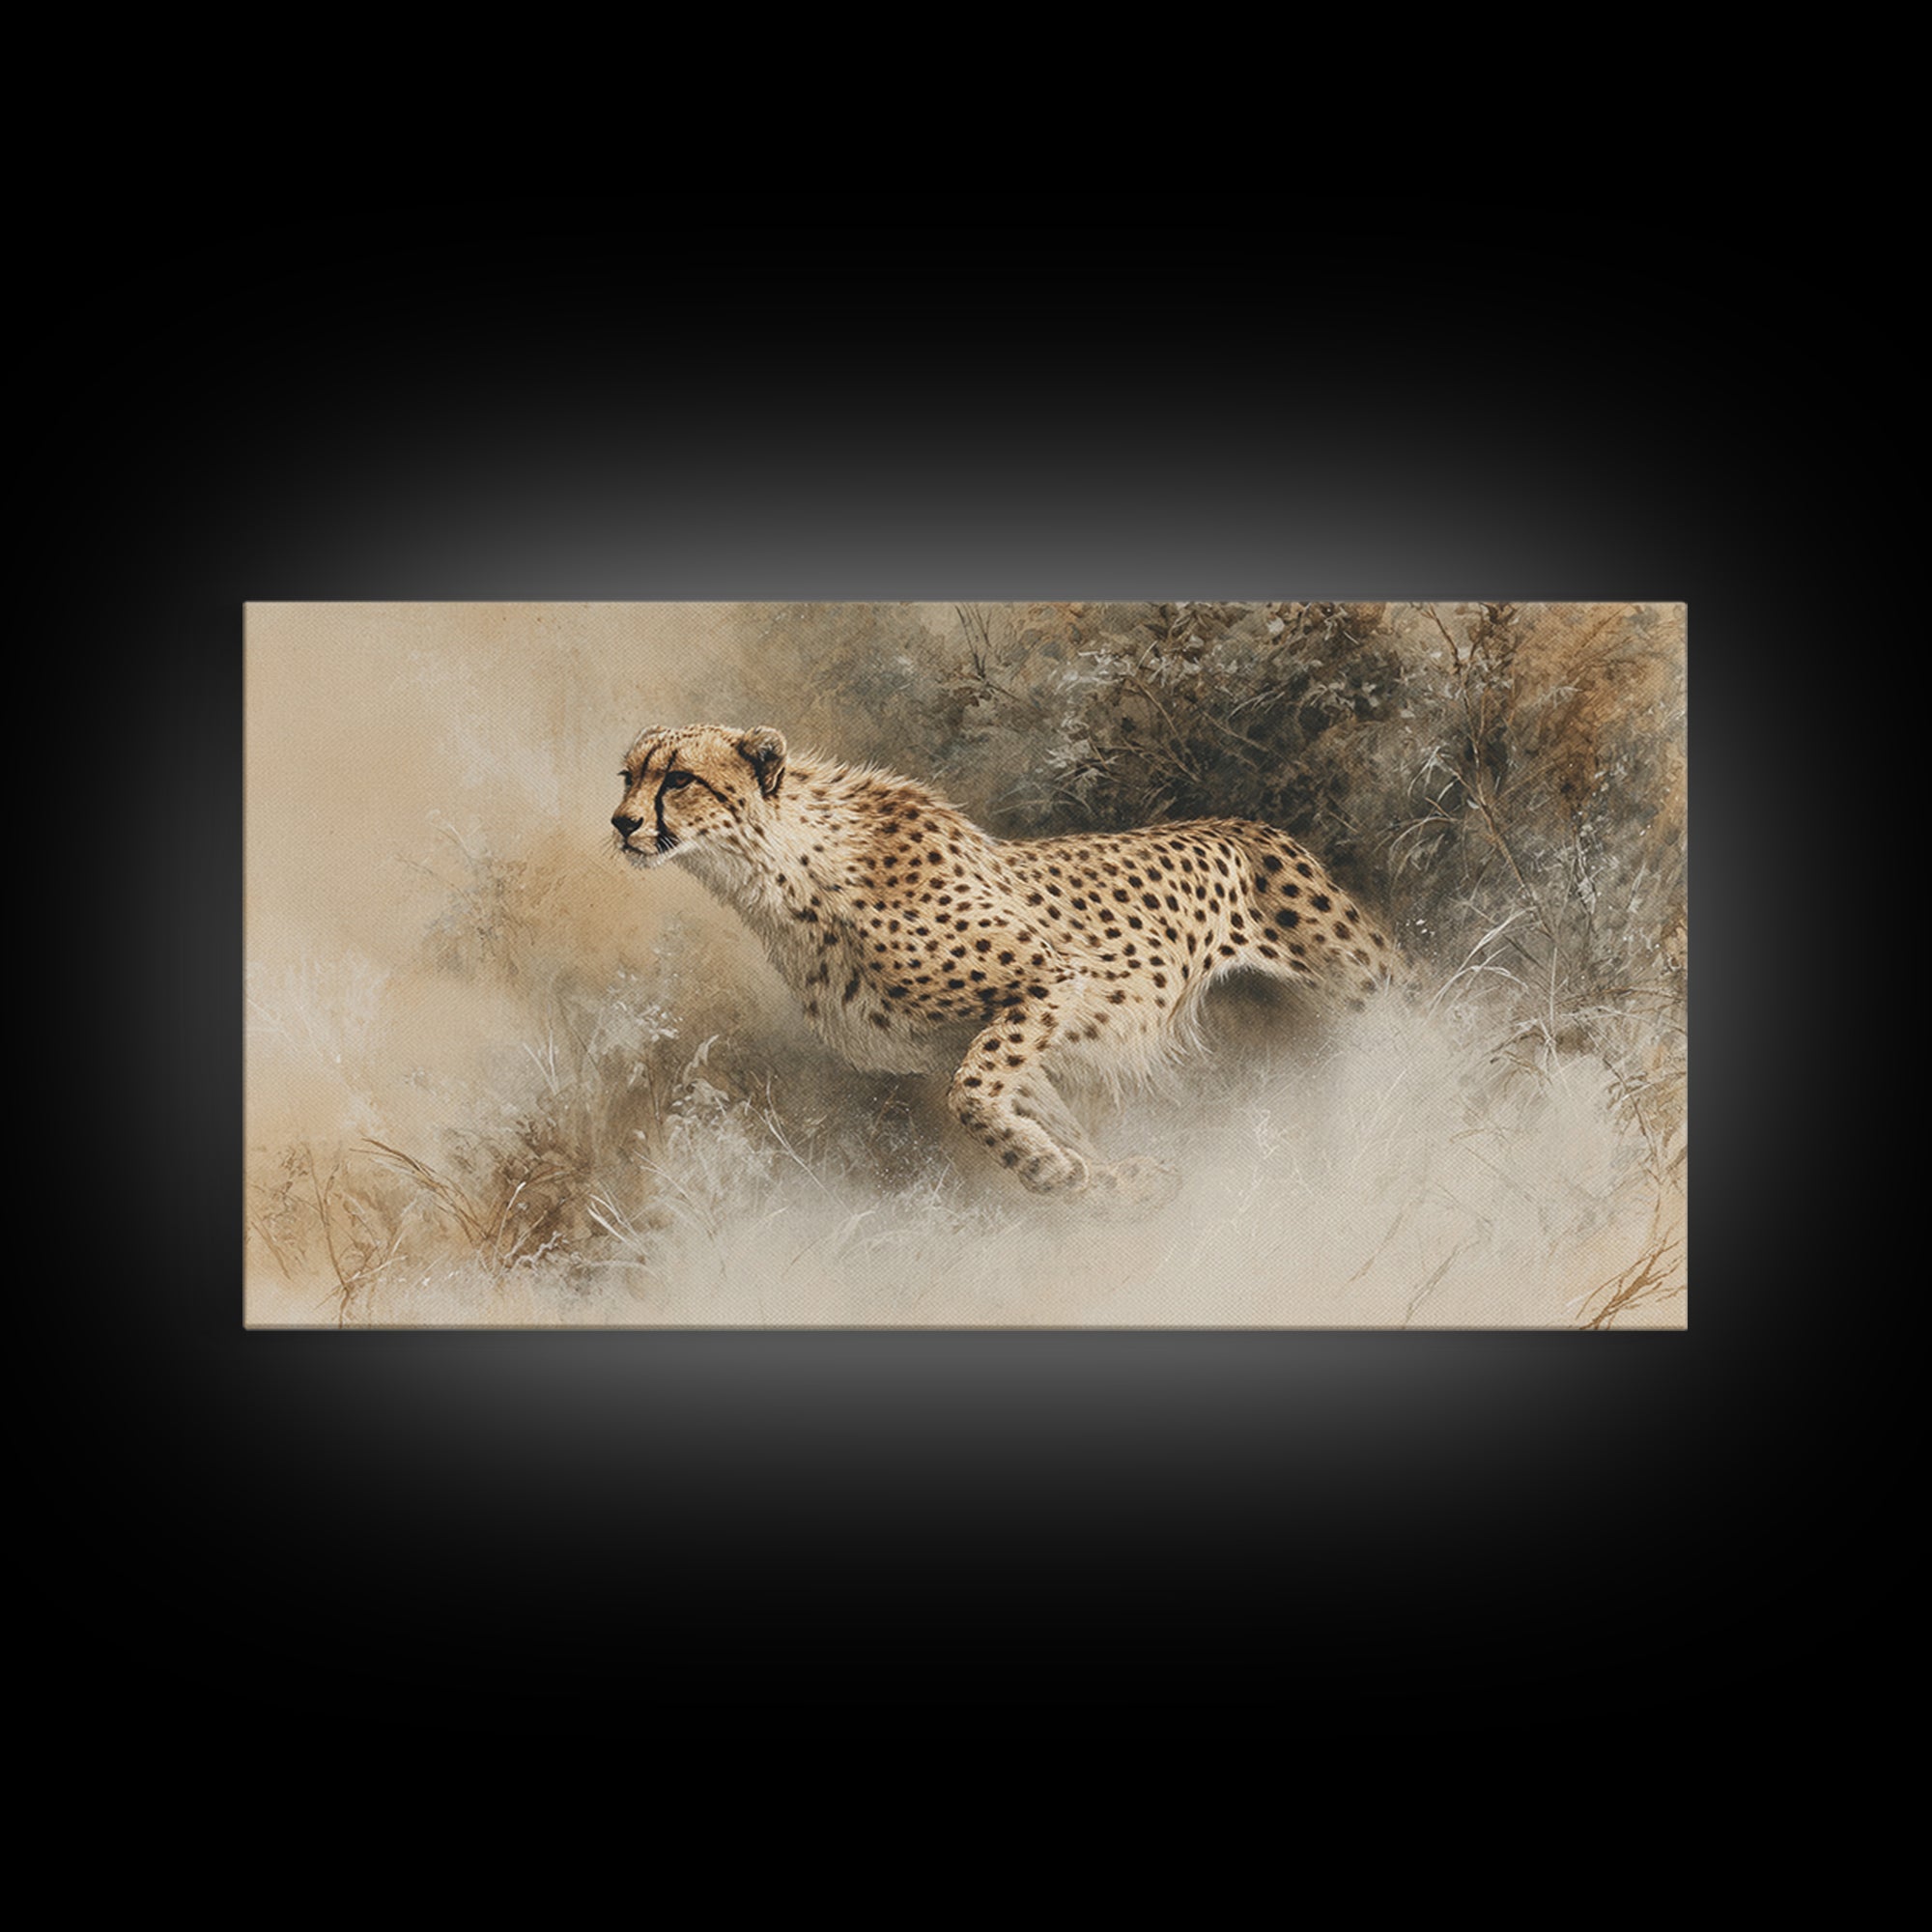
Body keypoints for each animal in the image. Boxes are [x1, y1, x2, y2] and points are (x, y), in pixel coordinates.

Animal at [612, 724, 1400, 1210]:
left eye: (678, 779)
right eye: (627, 776)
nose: (621, 822)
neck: (783, 874)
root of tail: (1250, 822)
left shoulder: (1047, 980)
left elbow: (971, 1097)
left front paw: (1056, 1172)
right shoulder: (963, 1040)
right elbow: (1036, 1110)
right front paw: (1107, 1182)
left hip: (1362, 987)